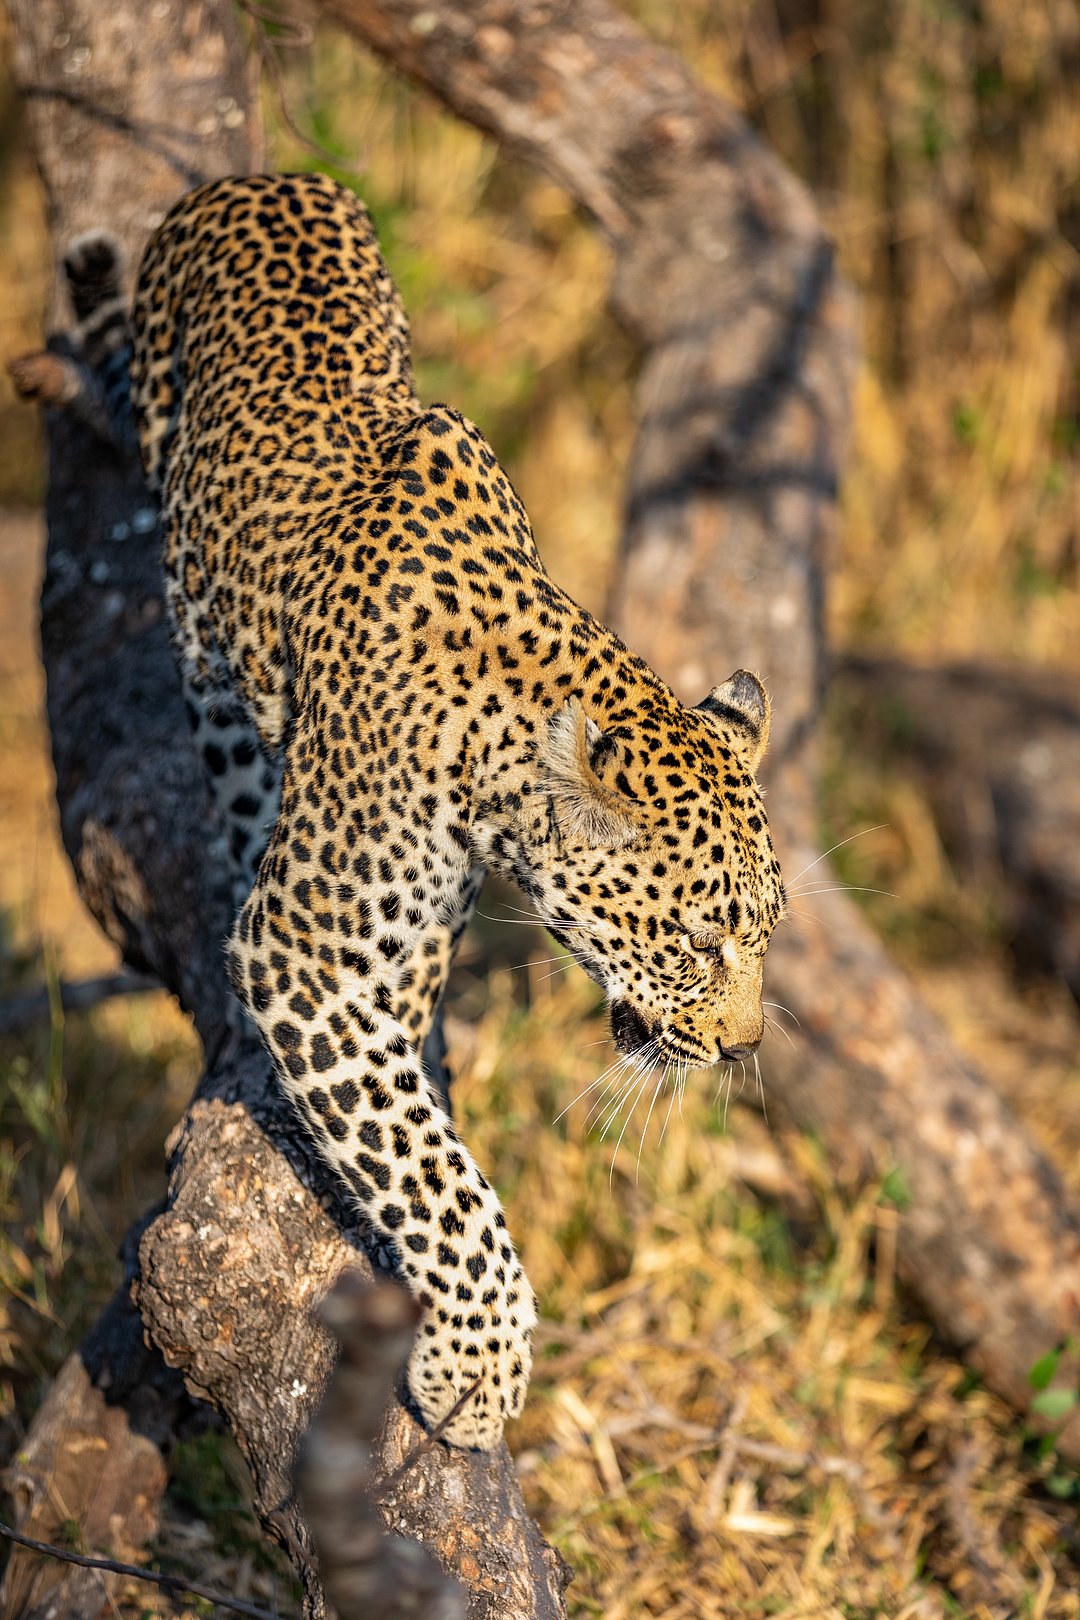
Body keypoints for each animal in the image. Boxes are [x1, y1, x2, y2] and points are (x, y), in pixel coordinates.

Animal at [64, 172, 786, 1450]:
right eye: (703, 941)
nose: (745, 1048)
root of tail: (241, 182)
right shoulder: (305, 952)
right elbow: (428, 1163)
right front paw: (482, 1363)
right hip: (206, 651)